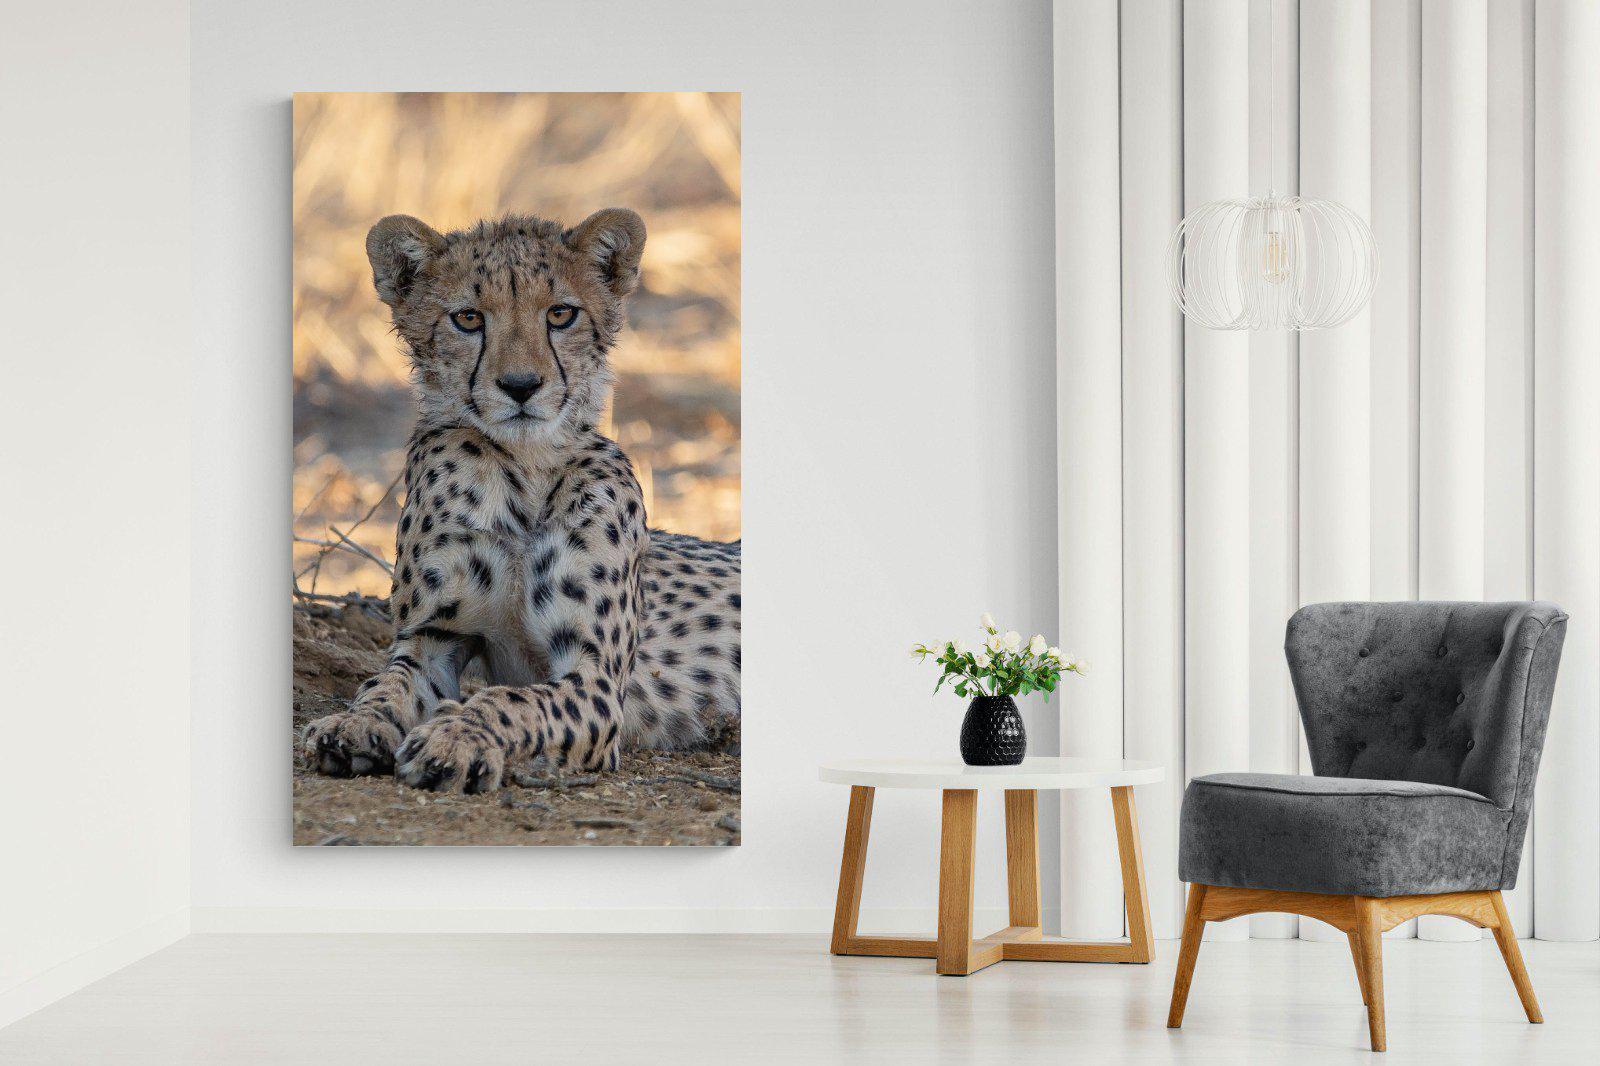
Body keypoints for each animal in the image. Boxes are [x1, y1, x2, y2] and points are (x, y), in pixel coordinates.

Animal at [299, 208, 741, 794]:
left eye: (560, 313)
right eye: (468, 318)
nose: (521, 385)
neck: (524, 470)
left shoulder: (595, 678)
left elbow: (511, 700)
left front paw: (455, 738)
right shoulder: (433, 639)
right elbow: (384, 684)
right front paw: (353, 724)